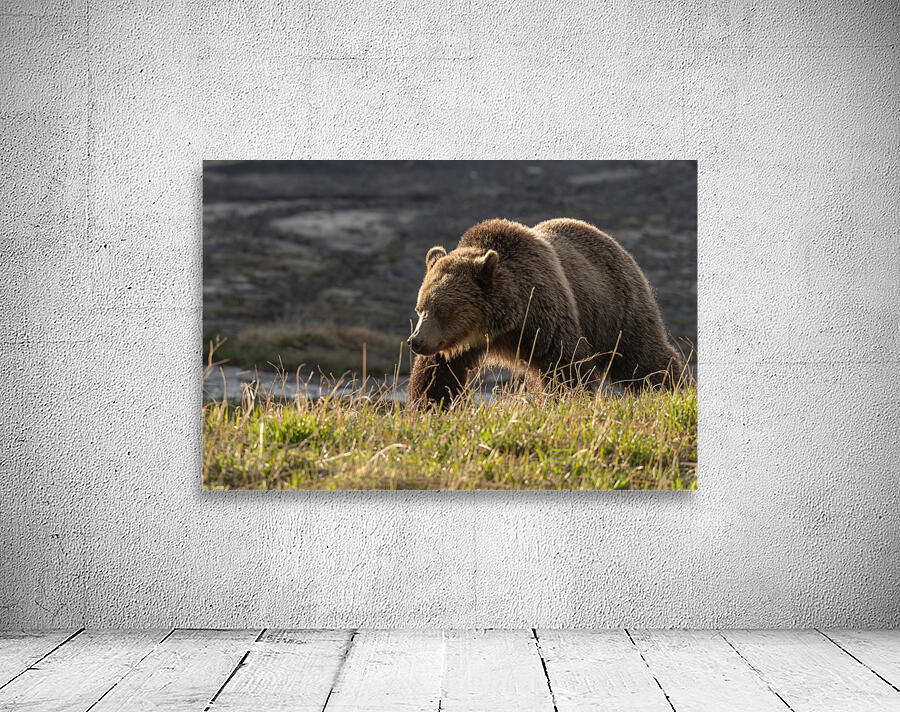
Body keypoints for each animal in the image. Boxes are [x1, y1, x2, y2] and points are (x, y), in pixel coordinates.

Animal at [406, 218, 683, 408]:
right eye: (420, 308)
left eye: (443, 309)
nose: (415, 341)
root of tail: (611, 241)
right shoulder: (456, 345)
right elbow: (436, 375)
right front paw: (428, 406)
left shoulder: (543, 314)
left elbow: (566, 366)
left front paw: (567, 401)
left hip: (616, 309)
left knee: (642, 356)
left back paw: (671, 387)